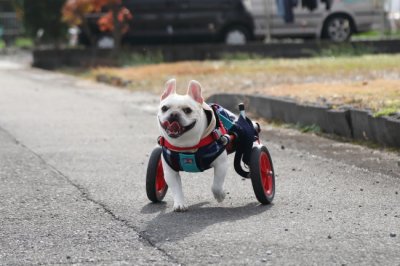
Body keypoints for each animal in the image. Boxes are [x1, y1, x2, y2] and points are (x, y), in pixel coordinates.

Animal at [157, 79, 228, 212]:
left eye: (187, 110)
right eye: (164, 108)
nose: (174, 114)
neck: (186, 145)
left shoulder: (221, 164)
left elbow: (216, 185)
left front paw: (220, 195)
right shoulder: (170, 171)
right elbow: (176, 188)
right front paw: (179, 204)